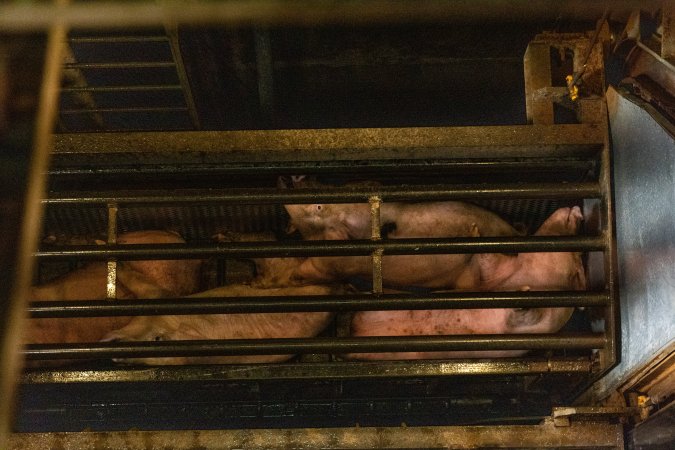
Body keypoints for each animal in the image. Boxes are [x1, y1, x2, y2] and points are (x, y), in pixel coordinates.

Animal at [348, 208, 588, 362]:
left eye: (577, 255)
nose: (578, 211)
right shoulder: (496, 272)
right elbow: (487, 260)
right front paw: (474, 231)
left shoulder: (543, 323)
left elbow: (528, 316)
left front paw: (524, 297)